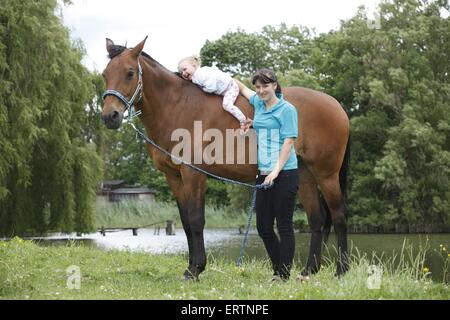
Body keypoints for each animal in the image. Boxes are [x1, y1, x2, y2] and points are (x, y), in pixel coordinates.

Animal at [102, 37, 352, 278]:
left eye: (130, 73)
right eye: (105, 74)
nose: (109, 116)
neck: (177, 105)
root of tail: (337, 106)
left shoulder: (194, 174)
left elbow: (196, 220)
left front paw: (196, 269)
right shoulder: (173, 176)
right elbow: (185, 222)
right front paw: (190, 267)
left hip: (326, 174)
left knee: (339, 215)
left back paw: (341, 270)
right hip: (305, 174)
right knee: (317, 218)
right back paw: (309, 269)